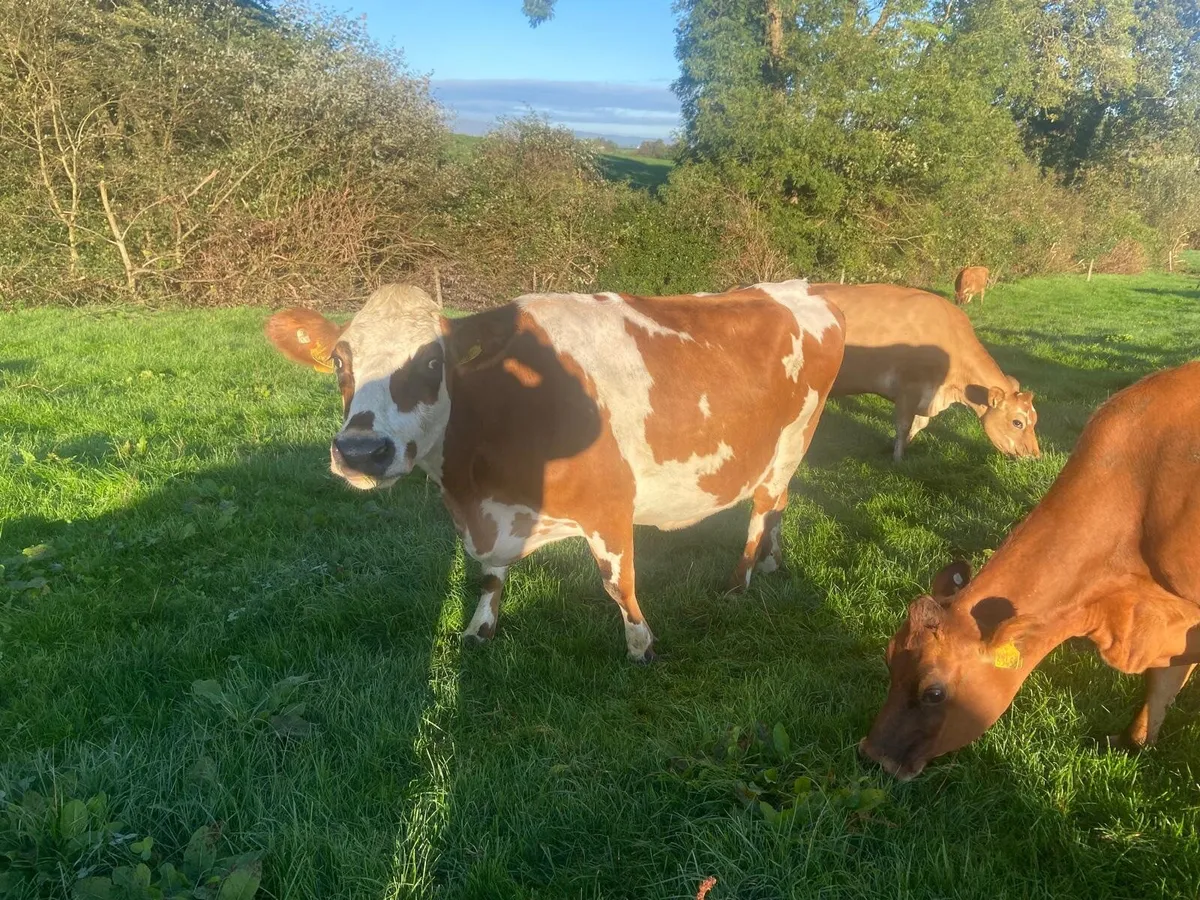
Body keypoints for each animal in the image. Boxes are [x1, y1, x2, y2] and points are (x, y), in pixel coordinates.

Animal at [265, 281, 845, 662]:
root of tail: (796, 288)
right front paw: (480, 628)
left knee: (763, 508)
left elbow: (618, 584)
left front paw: (641, 644)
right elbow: (489, 575)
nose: (360, 451)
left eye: (432, 362)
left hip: (793, 439)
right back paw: (771, 562)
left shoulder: (610, 505)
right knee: (779, 504)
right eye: (339, 361)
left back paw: (739, 580)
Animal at [812, 283, 1040, 461]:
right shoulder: (909, 388)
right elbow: (904, 425)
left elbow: (919, 425)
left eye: (1035, 420)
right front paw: (897, 459)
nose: (1035, 455)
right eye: (1017, 422)